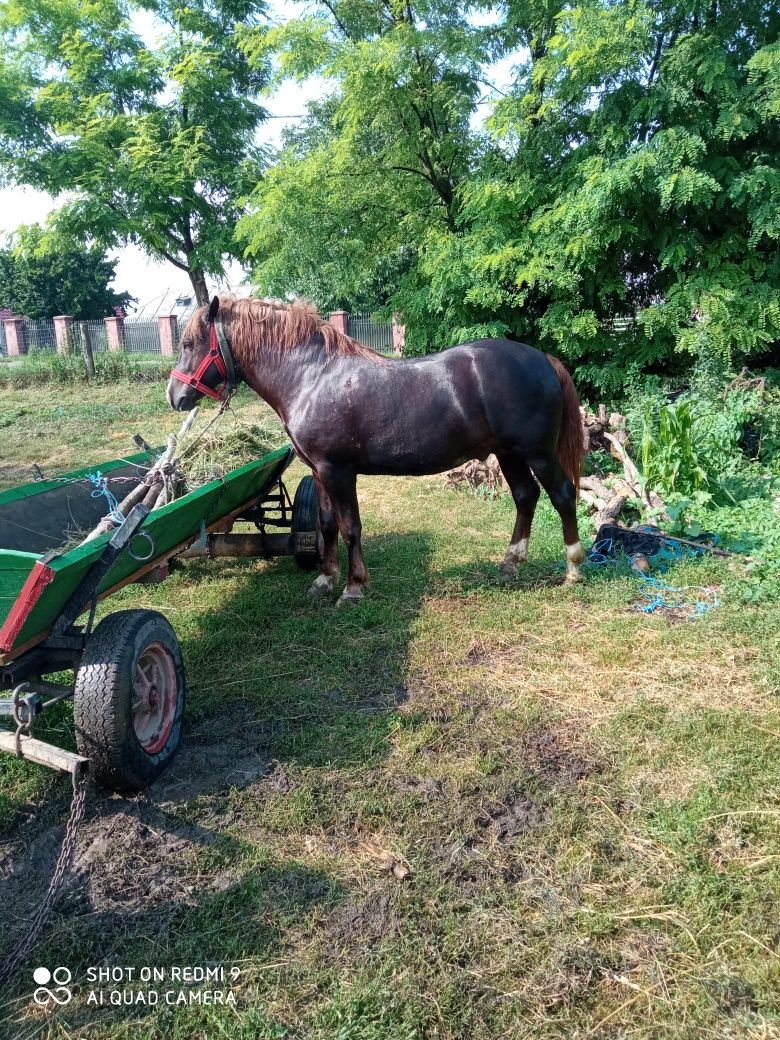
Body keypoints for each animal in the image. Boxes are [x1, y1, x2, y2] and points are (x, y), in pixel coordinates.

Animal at [170, 295, 586, 603]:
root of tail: (543, 359)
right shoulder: (319, 472)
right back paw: (511, 563)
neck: (311, 376)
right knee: (525, 496)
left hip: (537, 453)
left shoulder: (339, 472)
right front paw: (325, 581)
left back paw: (573, 569)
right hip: (509, 453)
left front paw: (353, 587)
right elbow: (327, 524)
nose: (175, 396)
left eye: (189, 344)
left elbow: (351, 527)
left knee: (562, 495)